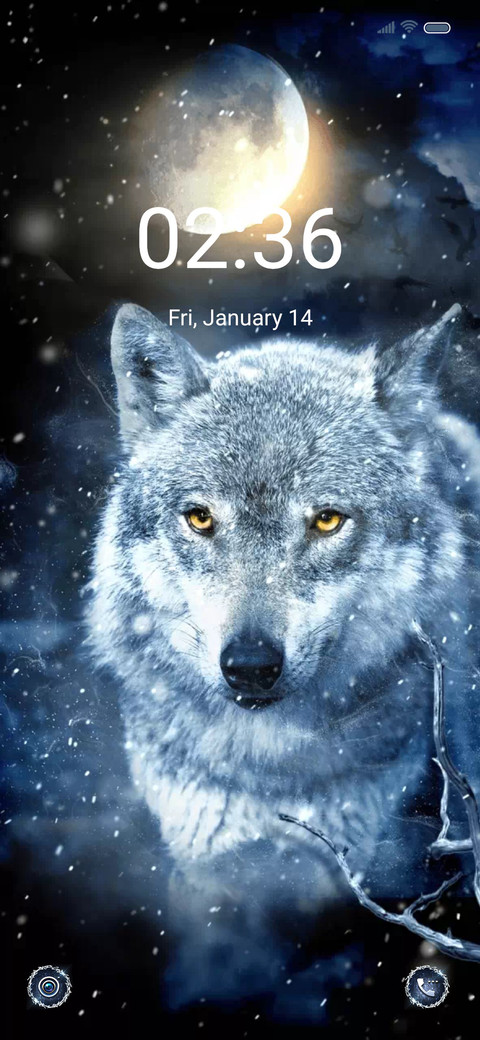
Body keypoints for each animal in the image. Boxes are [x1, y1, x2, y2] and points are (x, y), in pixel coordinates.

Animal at [88, 301, 480, 1010]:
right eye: (200, 518)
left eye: (326, 521)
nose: (249, 664)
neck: (269, 769)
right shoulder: (209, 872)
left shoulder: (350, 879)